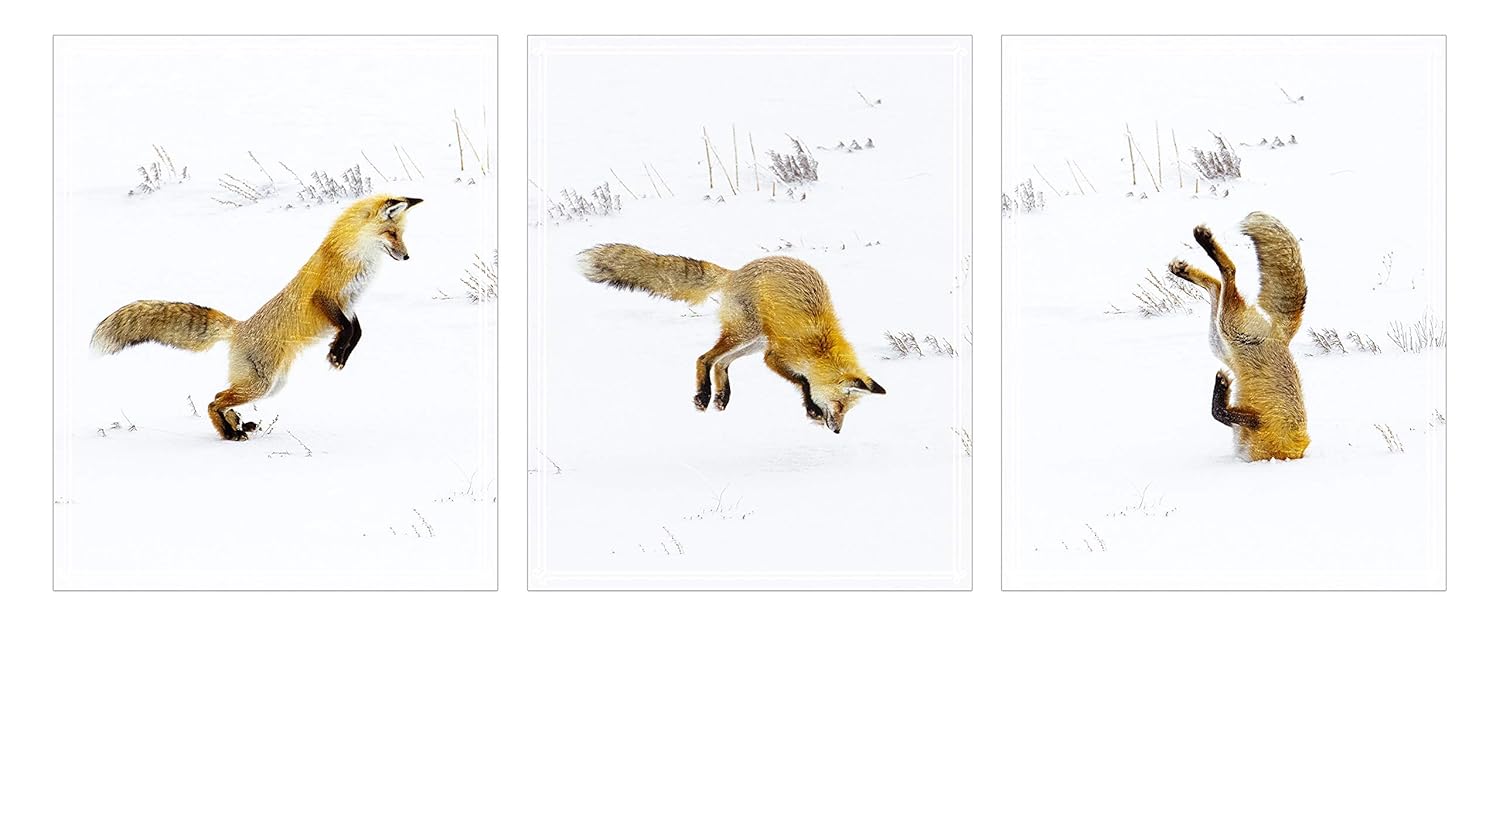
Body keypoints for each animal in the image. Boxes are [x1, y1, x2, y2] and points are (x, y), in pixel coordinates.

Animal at [90, 194, 423, 440]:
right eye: (392, 234)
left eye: (401, 235)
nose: (407, 256)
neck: (355, 256)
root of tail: (239, 327)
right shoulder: (325, 297)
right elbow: (346, 328)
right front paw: (336, 354)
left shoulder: (349, 304)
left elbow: (357, 331)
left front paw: (339, 354)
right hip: (261, 384)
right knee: (213, 399)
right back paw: (229, 432)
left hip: (272, 385)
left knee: (220, 395)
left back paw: (237, 425)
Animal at [577, 244, 885, 433]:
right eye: (840, 406)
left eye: (848, 411)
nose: (837, 431)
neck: (819, 347)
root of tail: (736, 272)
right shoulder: (773, 358)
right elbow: (803, 382)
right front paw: (812, 409)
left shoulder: (771, 355)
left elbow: (804, 382)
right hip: (745, 334)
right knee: (705, 358)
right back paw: (703, 396)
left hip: (753, 342)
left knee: (722, 363)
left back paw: (722, 397)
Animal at [1166, 211, 1309, 461]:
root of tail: (1282, 336)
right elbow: (1219, 413)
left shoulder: (1256, 425)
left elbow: (1218, 412)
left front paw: (1222, 386)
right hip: (1222, 337)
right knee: (1219, 283)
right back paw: (1188, 263)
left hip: (1228, 331)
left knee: (1227, 275)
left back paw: (1201, 245)